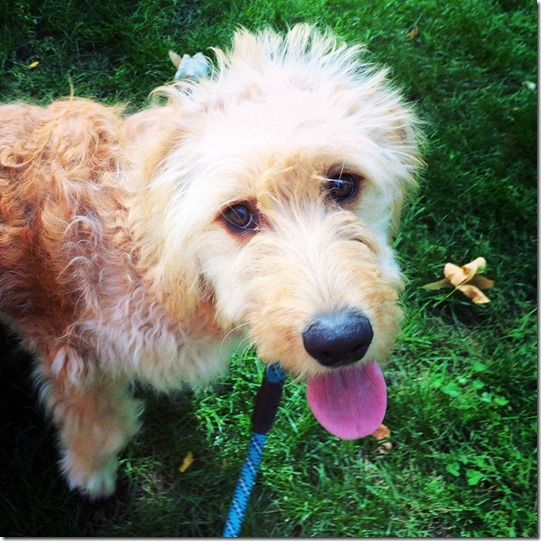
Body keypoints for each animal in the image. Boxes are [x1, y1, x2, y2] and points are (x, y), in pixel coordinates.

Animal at [0, 26, 422, 498]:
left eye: (343, 183)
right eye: (238, 214)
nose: (341, 341)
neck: (150, 257)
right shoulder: (72, 353)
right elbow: (102, 425)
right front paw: (92, 472)